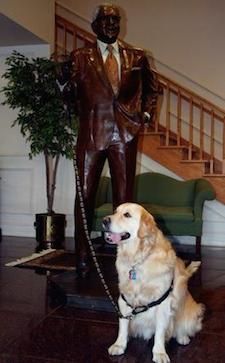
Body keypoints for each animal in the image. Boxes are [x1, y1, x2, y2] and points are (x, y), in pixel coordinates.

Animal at [103, 203, 205, 363]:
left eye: (127, 215)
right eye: (115, 212)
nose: (104, 220)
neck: (138, 259)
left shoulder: (163, 303)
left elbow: (160, 332)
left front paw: (159, 353)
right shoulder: (124, 299)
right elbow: (123, 325)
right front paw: (119, 345)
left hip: (190, 314)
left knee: (181, 326)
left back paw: (182, 337)